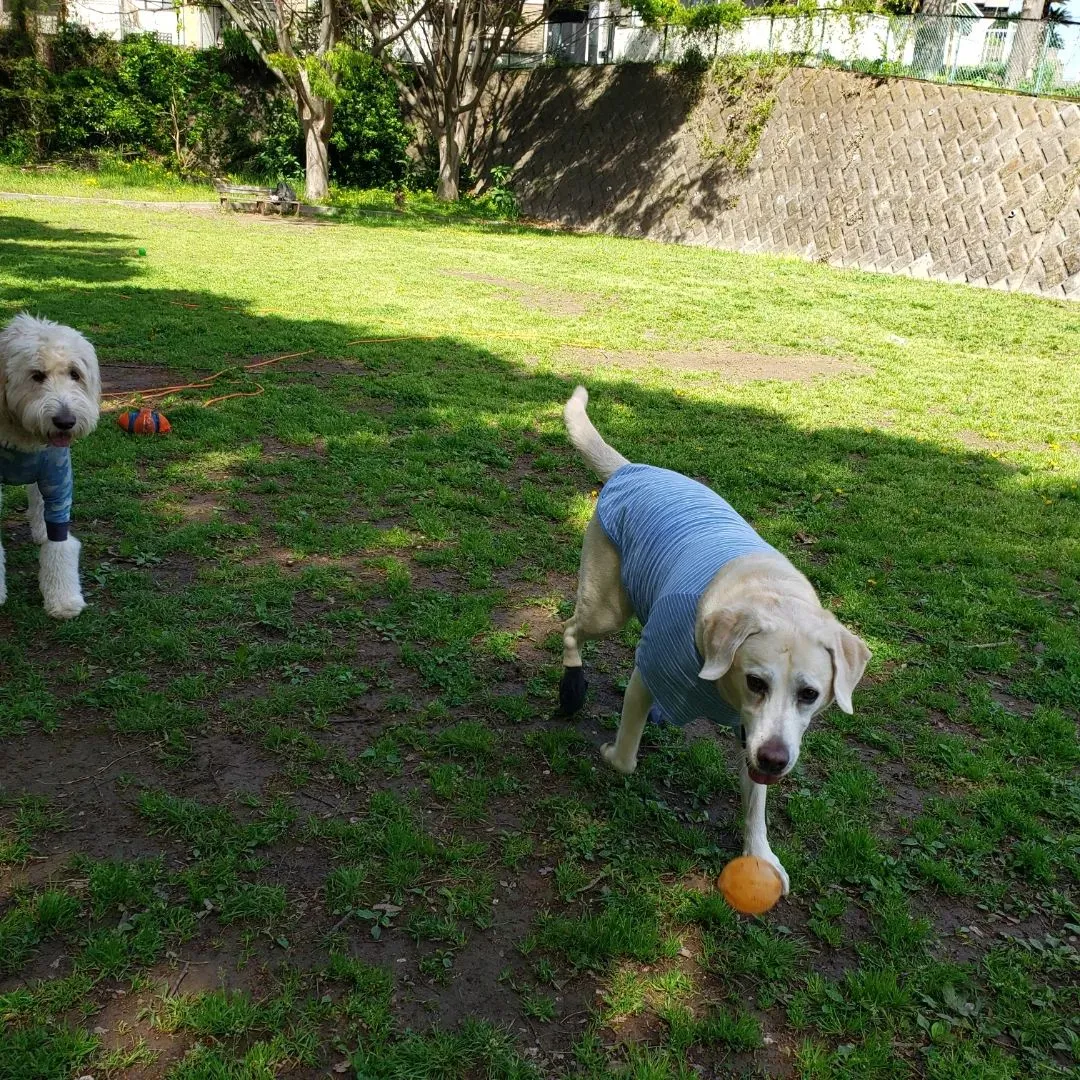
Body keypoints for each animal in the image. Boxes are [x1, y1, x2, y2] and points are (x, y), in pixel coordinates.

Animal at [0, 315, 101, 617]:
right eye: (36, 375)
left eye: (75, 374)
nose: (65, 421)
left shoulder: (58, 481)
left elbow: (61, 543)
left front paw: (63, 598)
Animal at [557, 388, 868, 894]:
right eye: (756, 682)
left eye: (810, 694)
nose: (776, 760)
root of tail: (633, 468)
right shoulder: (650, 672)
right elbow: (625, 758)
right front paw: (613, 753)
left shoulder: (756, 734)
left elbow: (756, 801)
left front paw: (760, 854)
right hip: (605, 608)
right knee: (571, 629)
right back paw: (572, 686)